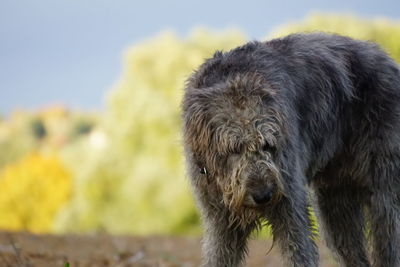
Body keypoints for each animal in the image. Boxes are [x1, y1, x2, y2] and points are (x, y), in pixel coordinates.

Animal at [182, 33, 400, 267]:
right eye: (234, 148)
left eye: (268, 145)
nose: (263, 196)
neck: (234, 77)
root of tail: (387, 59)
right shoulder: (220, 220)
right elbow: (218, 254)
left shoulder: (289, 204)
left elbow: (299, 250)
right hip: (334, 202)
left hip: (383, 191)